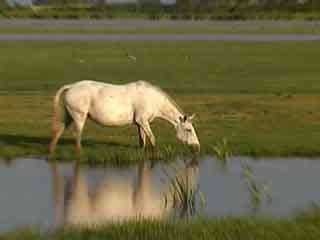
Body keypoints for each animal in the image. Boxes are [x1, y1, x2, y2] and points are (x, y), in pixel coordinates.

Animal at [48, 80, 199, 155]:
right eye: (189, 130)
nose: (197, 147)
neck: (153, 99)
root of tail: (71, 87)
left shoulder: (140, 123)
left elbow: (142, 140)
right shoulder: (143, 121)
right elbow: (152, 138)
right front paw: (155, 154)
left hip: (69, 117)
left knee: (58, 132)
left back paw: (51, 152)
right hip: (79, 117)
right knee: (77, 135)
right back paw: (79, 153)